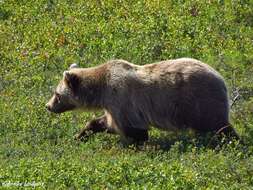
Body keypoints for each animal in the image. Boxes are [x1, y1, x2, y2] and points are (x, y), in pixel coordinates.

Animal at [46, 58, 239, 142]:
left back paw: (232, 141)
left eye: (57, 94)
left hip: (199, 100)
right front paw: (79, 135)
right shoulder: (112, 105)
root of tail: (220, 78)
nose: (48, 106)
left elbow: (132, 128)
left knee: (218, 125)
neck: (100, 90)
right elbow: (107, 122)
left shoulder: (121, 98)